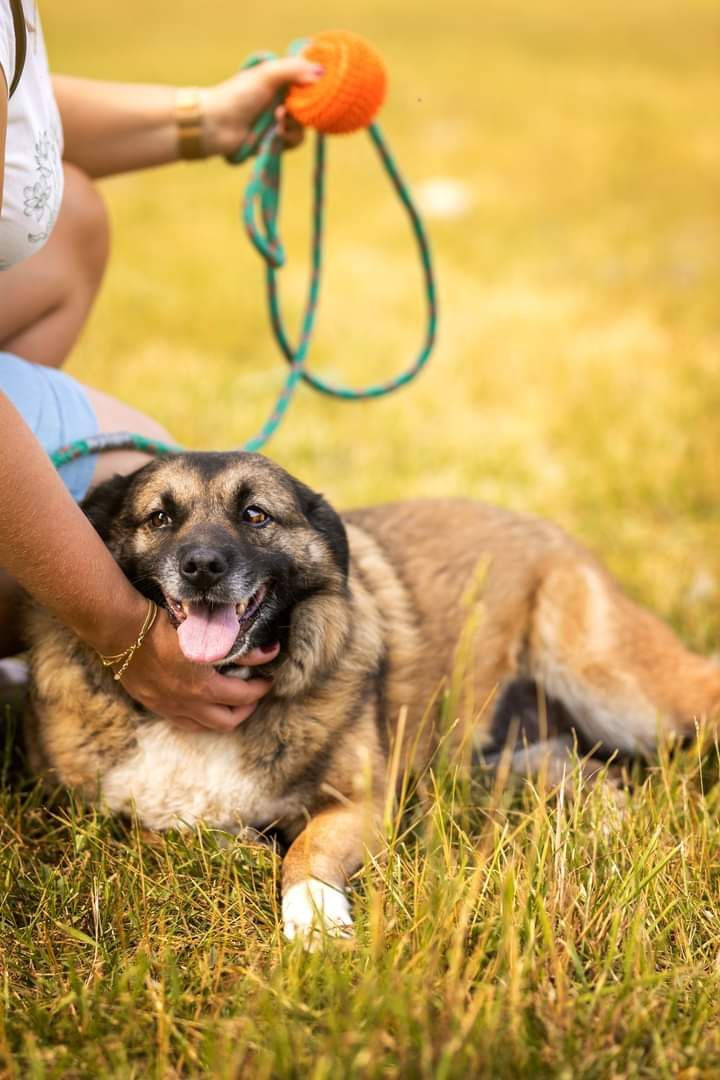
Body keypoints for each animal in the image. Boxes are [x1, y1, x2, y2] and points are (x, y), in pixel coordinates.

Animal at [22, 451, 720, 941]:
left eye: (256, 515)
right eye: (160, 518)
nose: (201, 568)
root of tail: (546, 527)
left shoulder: (362, 804)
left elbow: (306, 852)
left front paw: (314, 918)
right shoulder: (95, 813)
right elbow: (165, 831)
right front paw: (242, 851)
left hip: (622, 690)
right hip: (501, 759)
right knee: (589, 773)